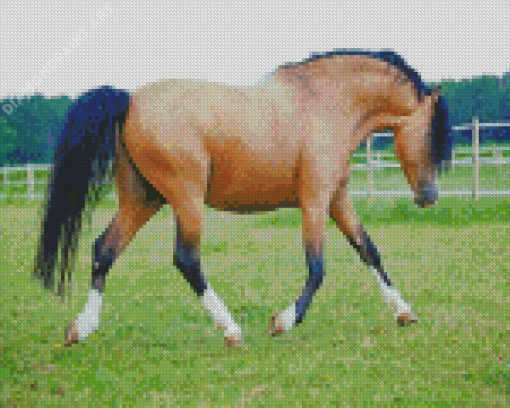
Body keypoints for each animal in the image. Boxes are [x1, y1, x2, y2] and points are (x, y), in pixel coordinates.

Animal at [33, 48, 452, 348]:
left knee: (104, 249)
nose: (429, 196)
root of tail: (130, 100)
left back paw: (82, 328)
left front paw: (404, 313)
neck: (325, 102)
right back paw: (231, 329)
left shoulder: (337, 199)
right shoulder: (315, 200)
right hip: (186, 198)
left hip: (143, 200)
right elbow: (317, 268)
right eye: (433, 134)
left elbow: (369, 250)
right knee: (186, 259)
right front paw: (282, 321)